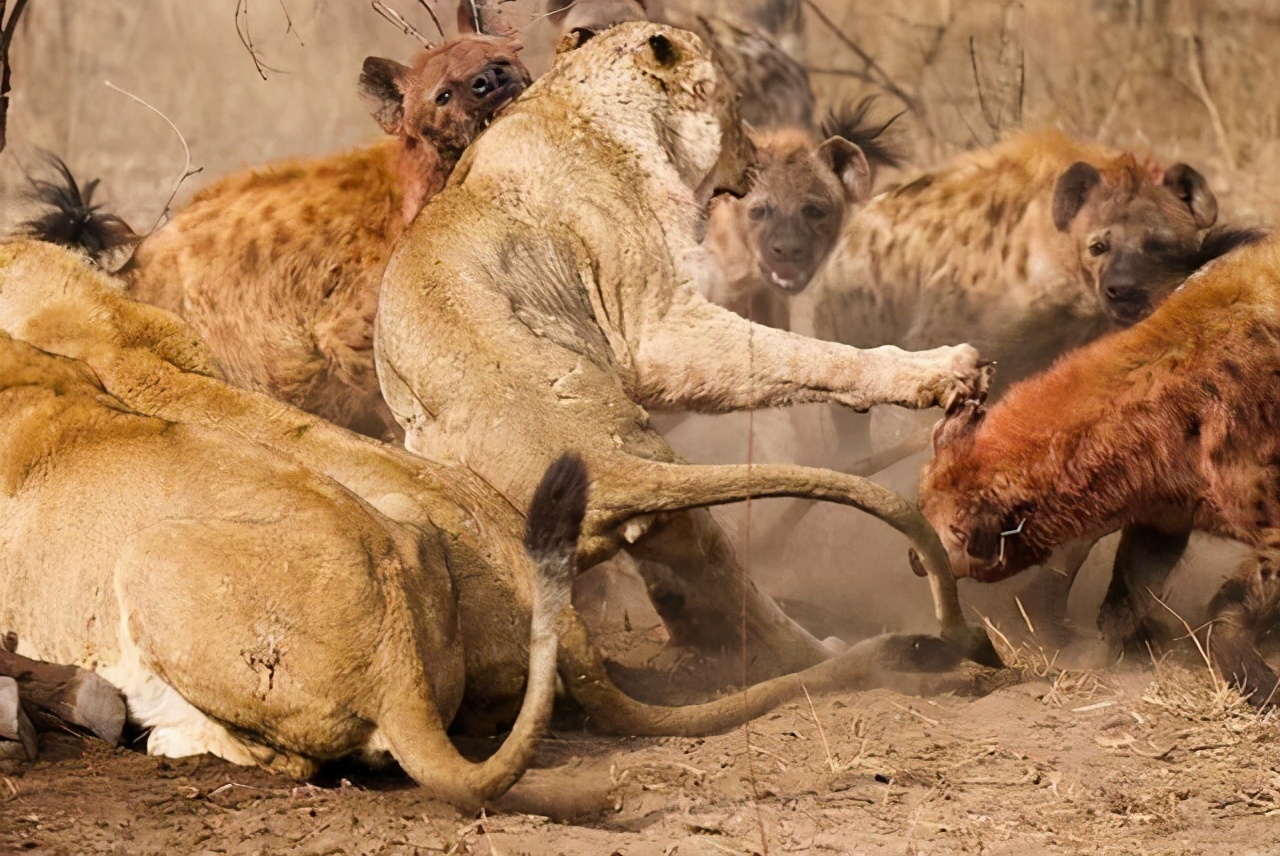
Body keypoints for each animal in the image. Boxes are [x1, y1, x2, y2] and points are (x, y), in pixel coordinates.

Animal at [373, 21, 993, 675]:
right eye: (736, 104)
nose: (756, 157)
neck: (577, 102)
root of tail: (610, 467)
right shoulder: (656, 326)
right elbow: (804, 353)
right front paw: (945, 369)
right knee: (742, 594)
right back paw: (829, 651)